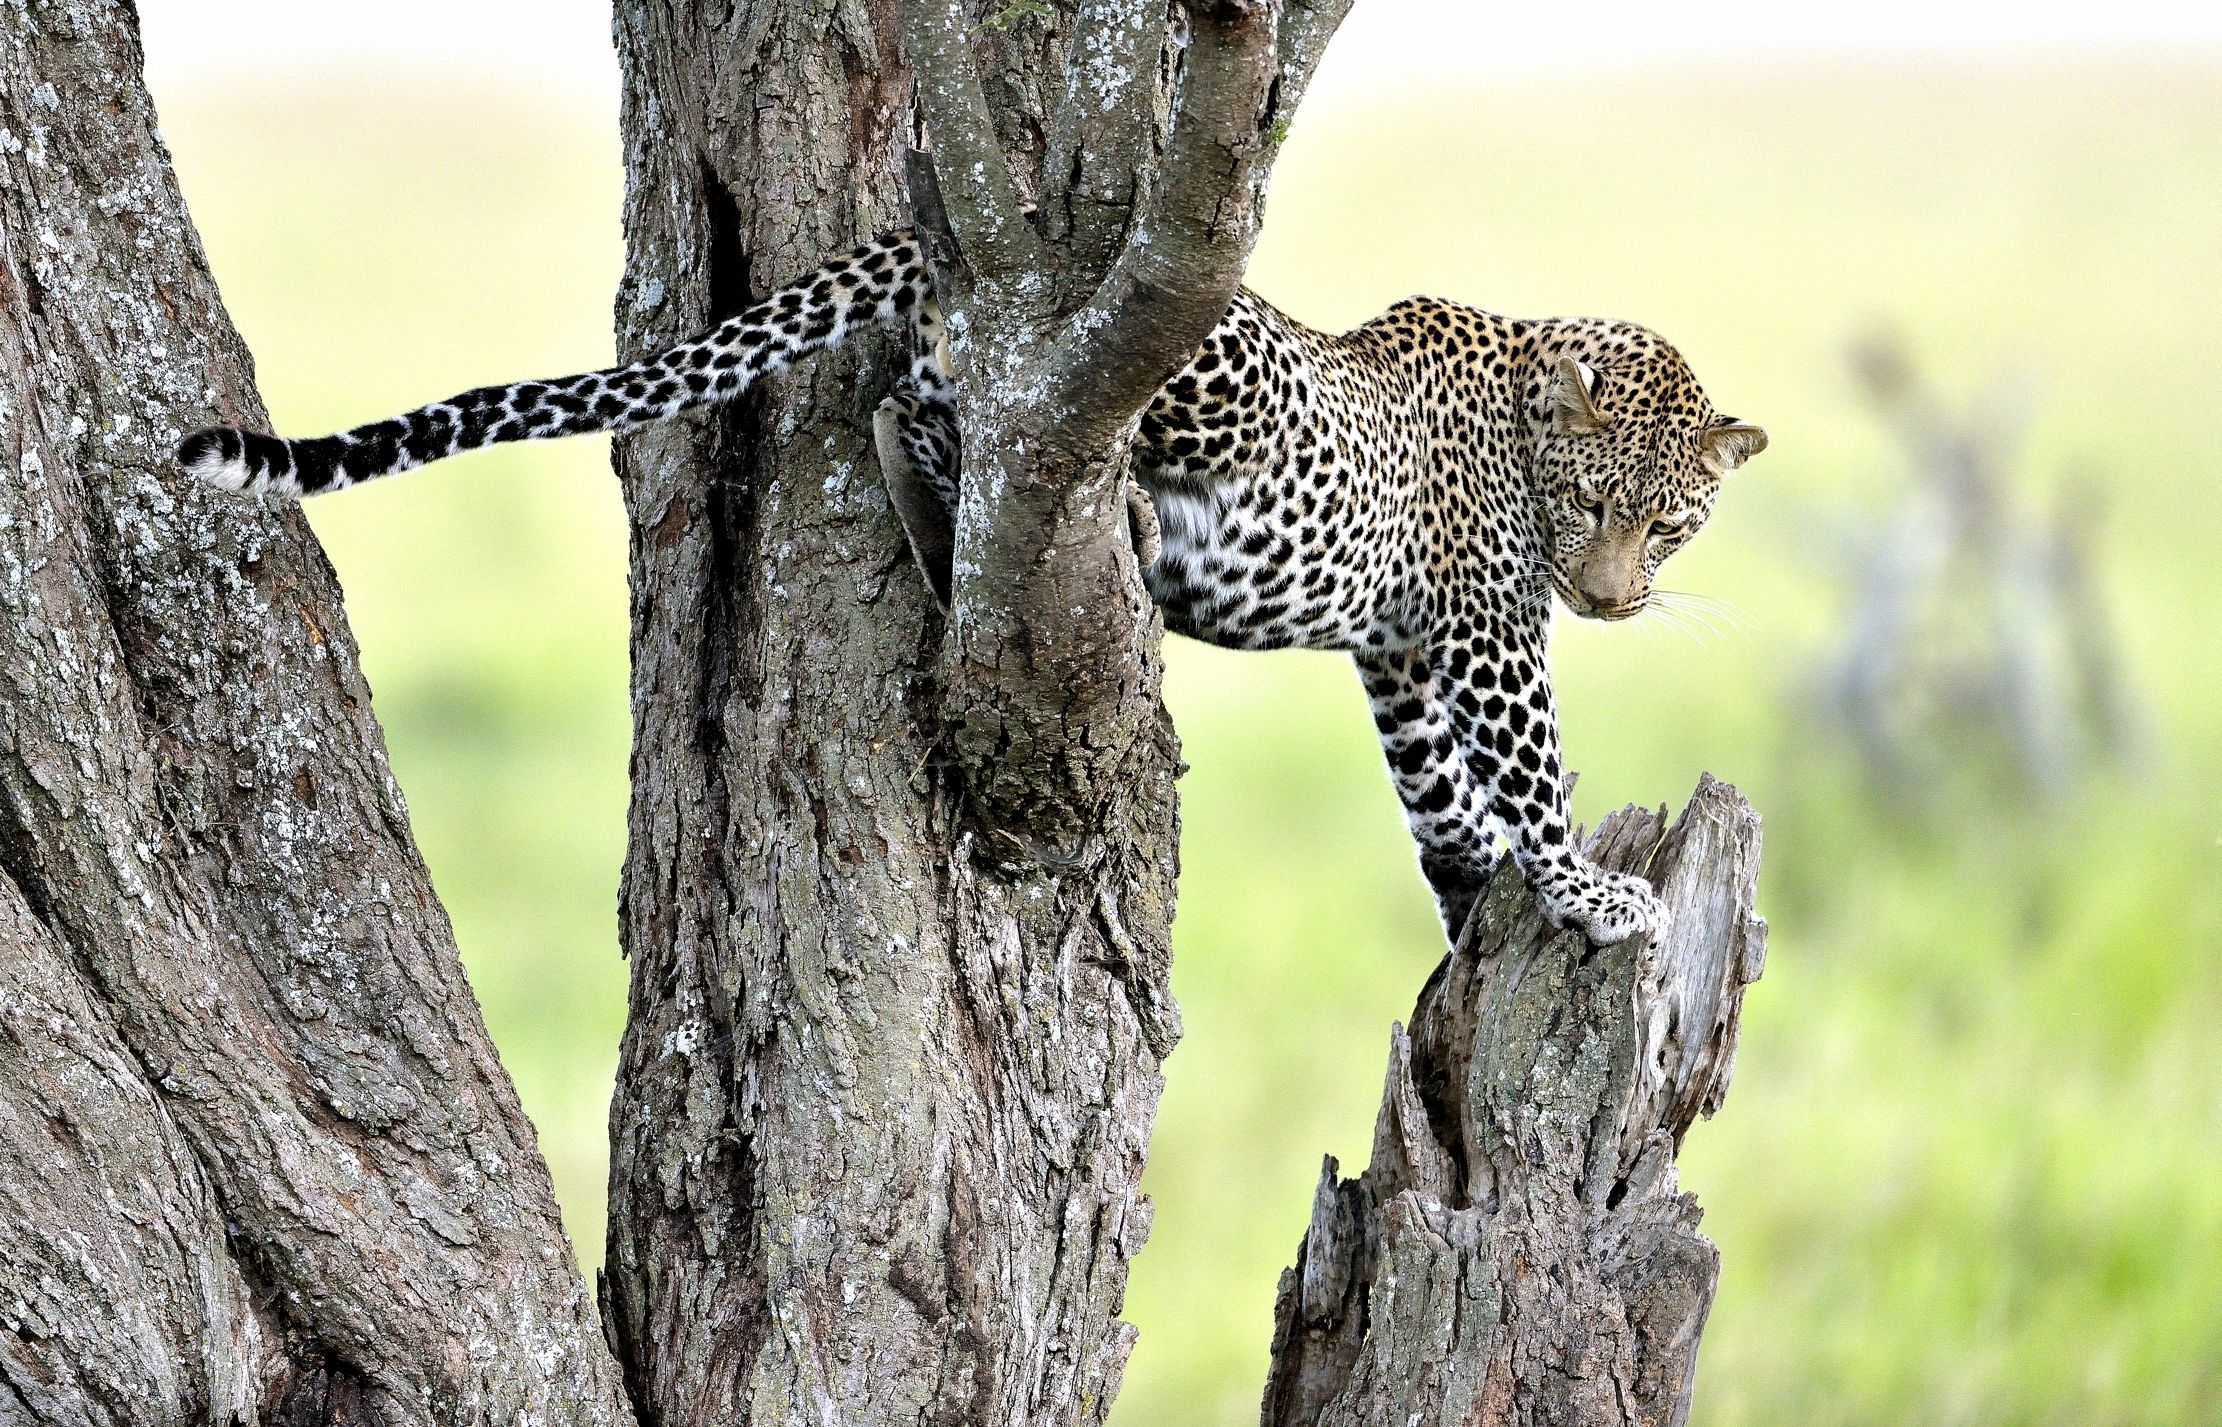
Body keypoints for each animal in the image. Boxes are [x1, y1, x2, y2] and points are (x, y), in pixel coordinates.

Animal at [178, 229, 1767, 947]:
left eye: (1675, 525)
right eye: (1596, 510)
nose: (1613, 601)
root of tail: (919, 237)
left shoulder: (1400, 654)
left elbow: (1439, 795)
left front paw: (1475, 899)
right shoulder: (1488, 634)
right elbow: (1534, 772)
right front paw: (1594, 890)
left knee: (918, 407)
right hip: (1200, 360)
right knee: (1001, 416)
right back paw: (1108, 504)